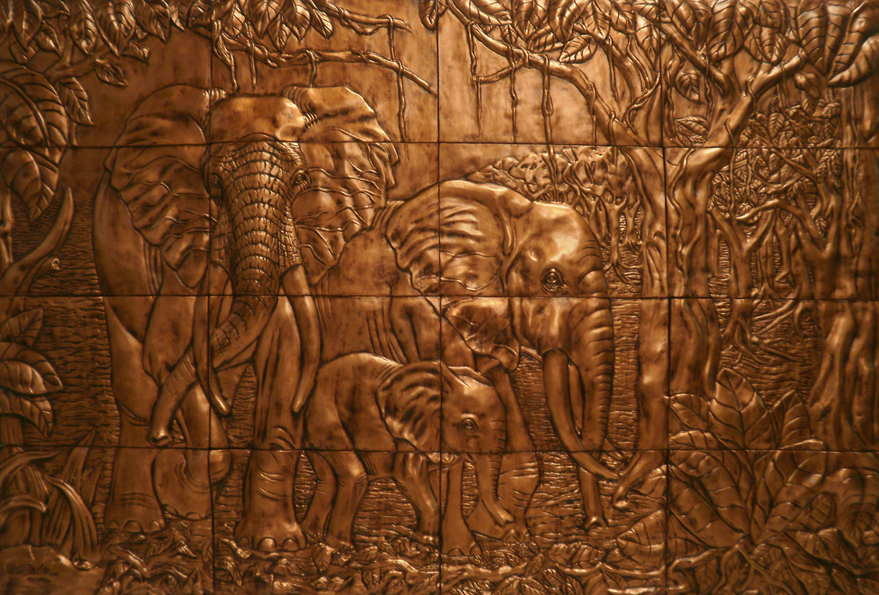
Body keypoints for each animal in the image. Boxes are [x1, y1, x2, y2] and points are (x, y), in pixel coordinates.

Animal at [93, 84, 398, 551]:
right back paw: (138, 524)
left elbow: (289, 358)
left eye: (299, 181)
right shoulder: (184, 239)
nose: (164, 438)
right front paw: (180, 484)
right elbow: (168, 352)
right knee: (137, 389)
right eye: (214, 184)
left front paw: (275, 546)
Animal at [301, 352, 510, 549]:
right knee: (355, 476)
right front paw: (424, 543)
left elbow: (438, 481)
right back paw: (340, 548)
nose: (509, 521)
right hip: (325, 415)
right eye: (468, 425)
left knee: (327, 479)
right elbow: (407, 477)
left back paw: (312, 536)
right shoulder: (406, 437)